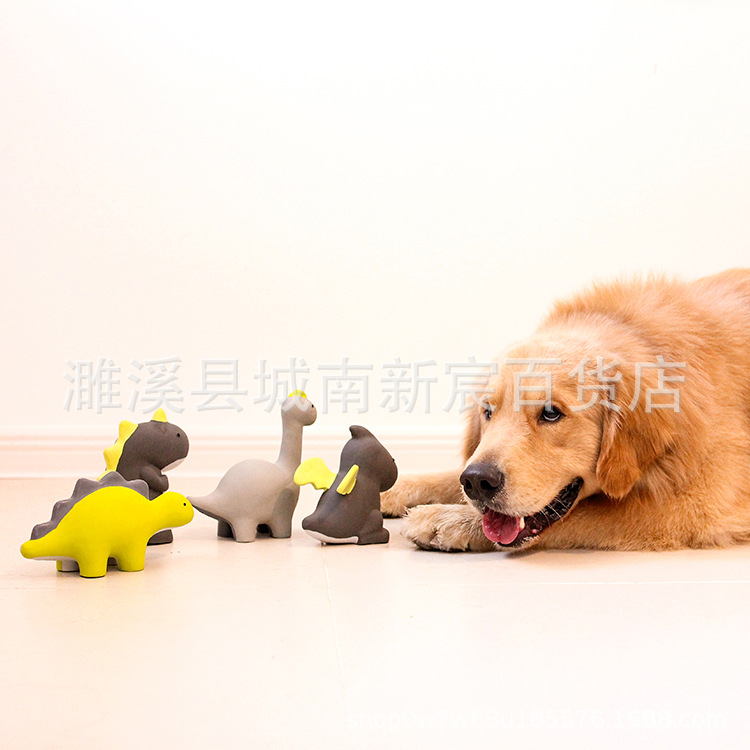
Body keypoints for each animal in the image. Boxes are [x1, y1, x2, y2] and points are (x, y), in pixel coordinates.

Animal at [383, 269, 750, 552]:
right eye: (488, 411)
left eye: (550, 413)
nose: (477, 481)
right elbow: (448, 474)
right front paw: (391, 489)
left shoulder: (698, 504)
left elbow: (591, 513)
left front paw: (450, 519)